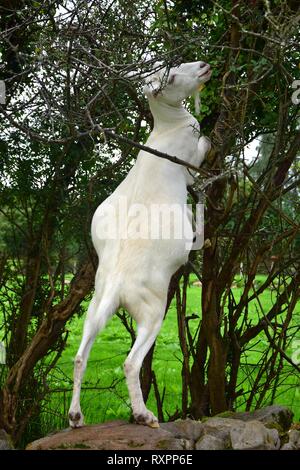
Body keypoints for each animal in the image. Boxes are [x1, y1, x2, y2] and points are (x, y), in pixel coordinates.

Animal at [69, 61, 212, 430]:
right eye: (172, 77)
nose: (204, 66)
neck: (165, 130)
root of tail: (117, 285)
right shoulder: (190, 162)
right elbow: (201, 155)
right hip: (152, 312)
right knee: (131, 362)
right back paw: (144, 415)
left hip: (95, 309)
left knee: (79, 356)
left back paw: (76, 416)